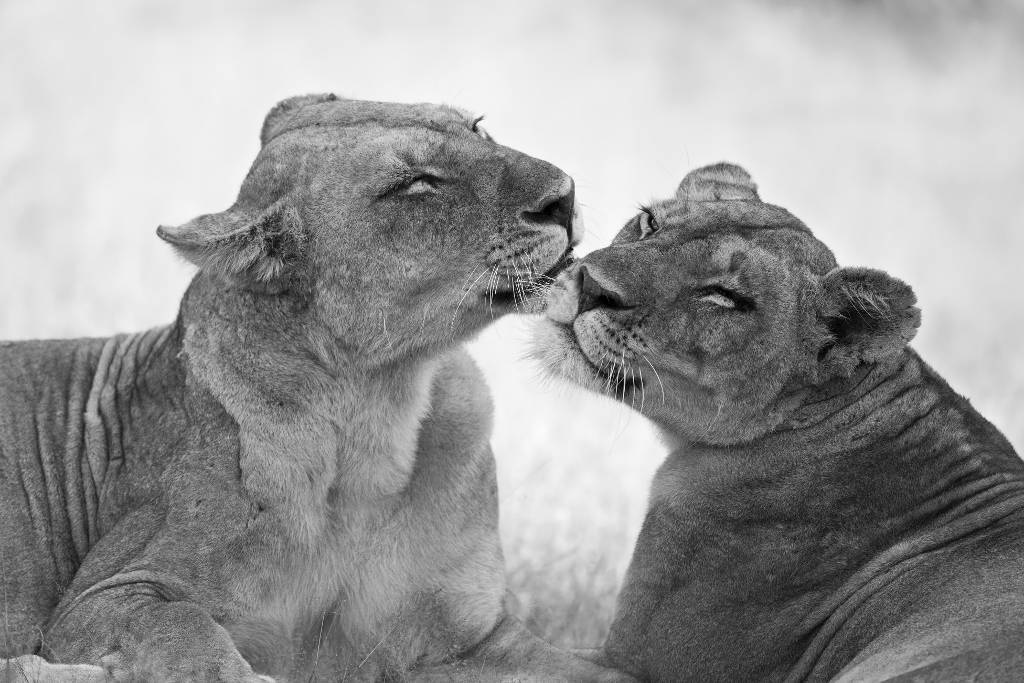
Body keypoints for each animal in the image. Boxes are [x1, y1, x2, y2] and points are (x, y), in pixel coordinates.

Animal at [0, 94, 631, 682]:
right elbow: (190, 633)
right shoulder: (105, 597)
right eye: (415, 185)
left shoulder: (475, 636)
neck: (377, 417)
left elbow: (610, 669)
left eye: (477, 129)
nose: (564, 195)